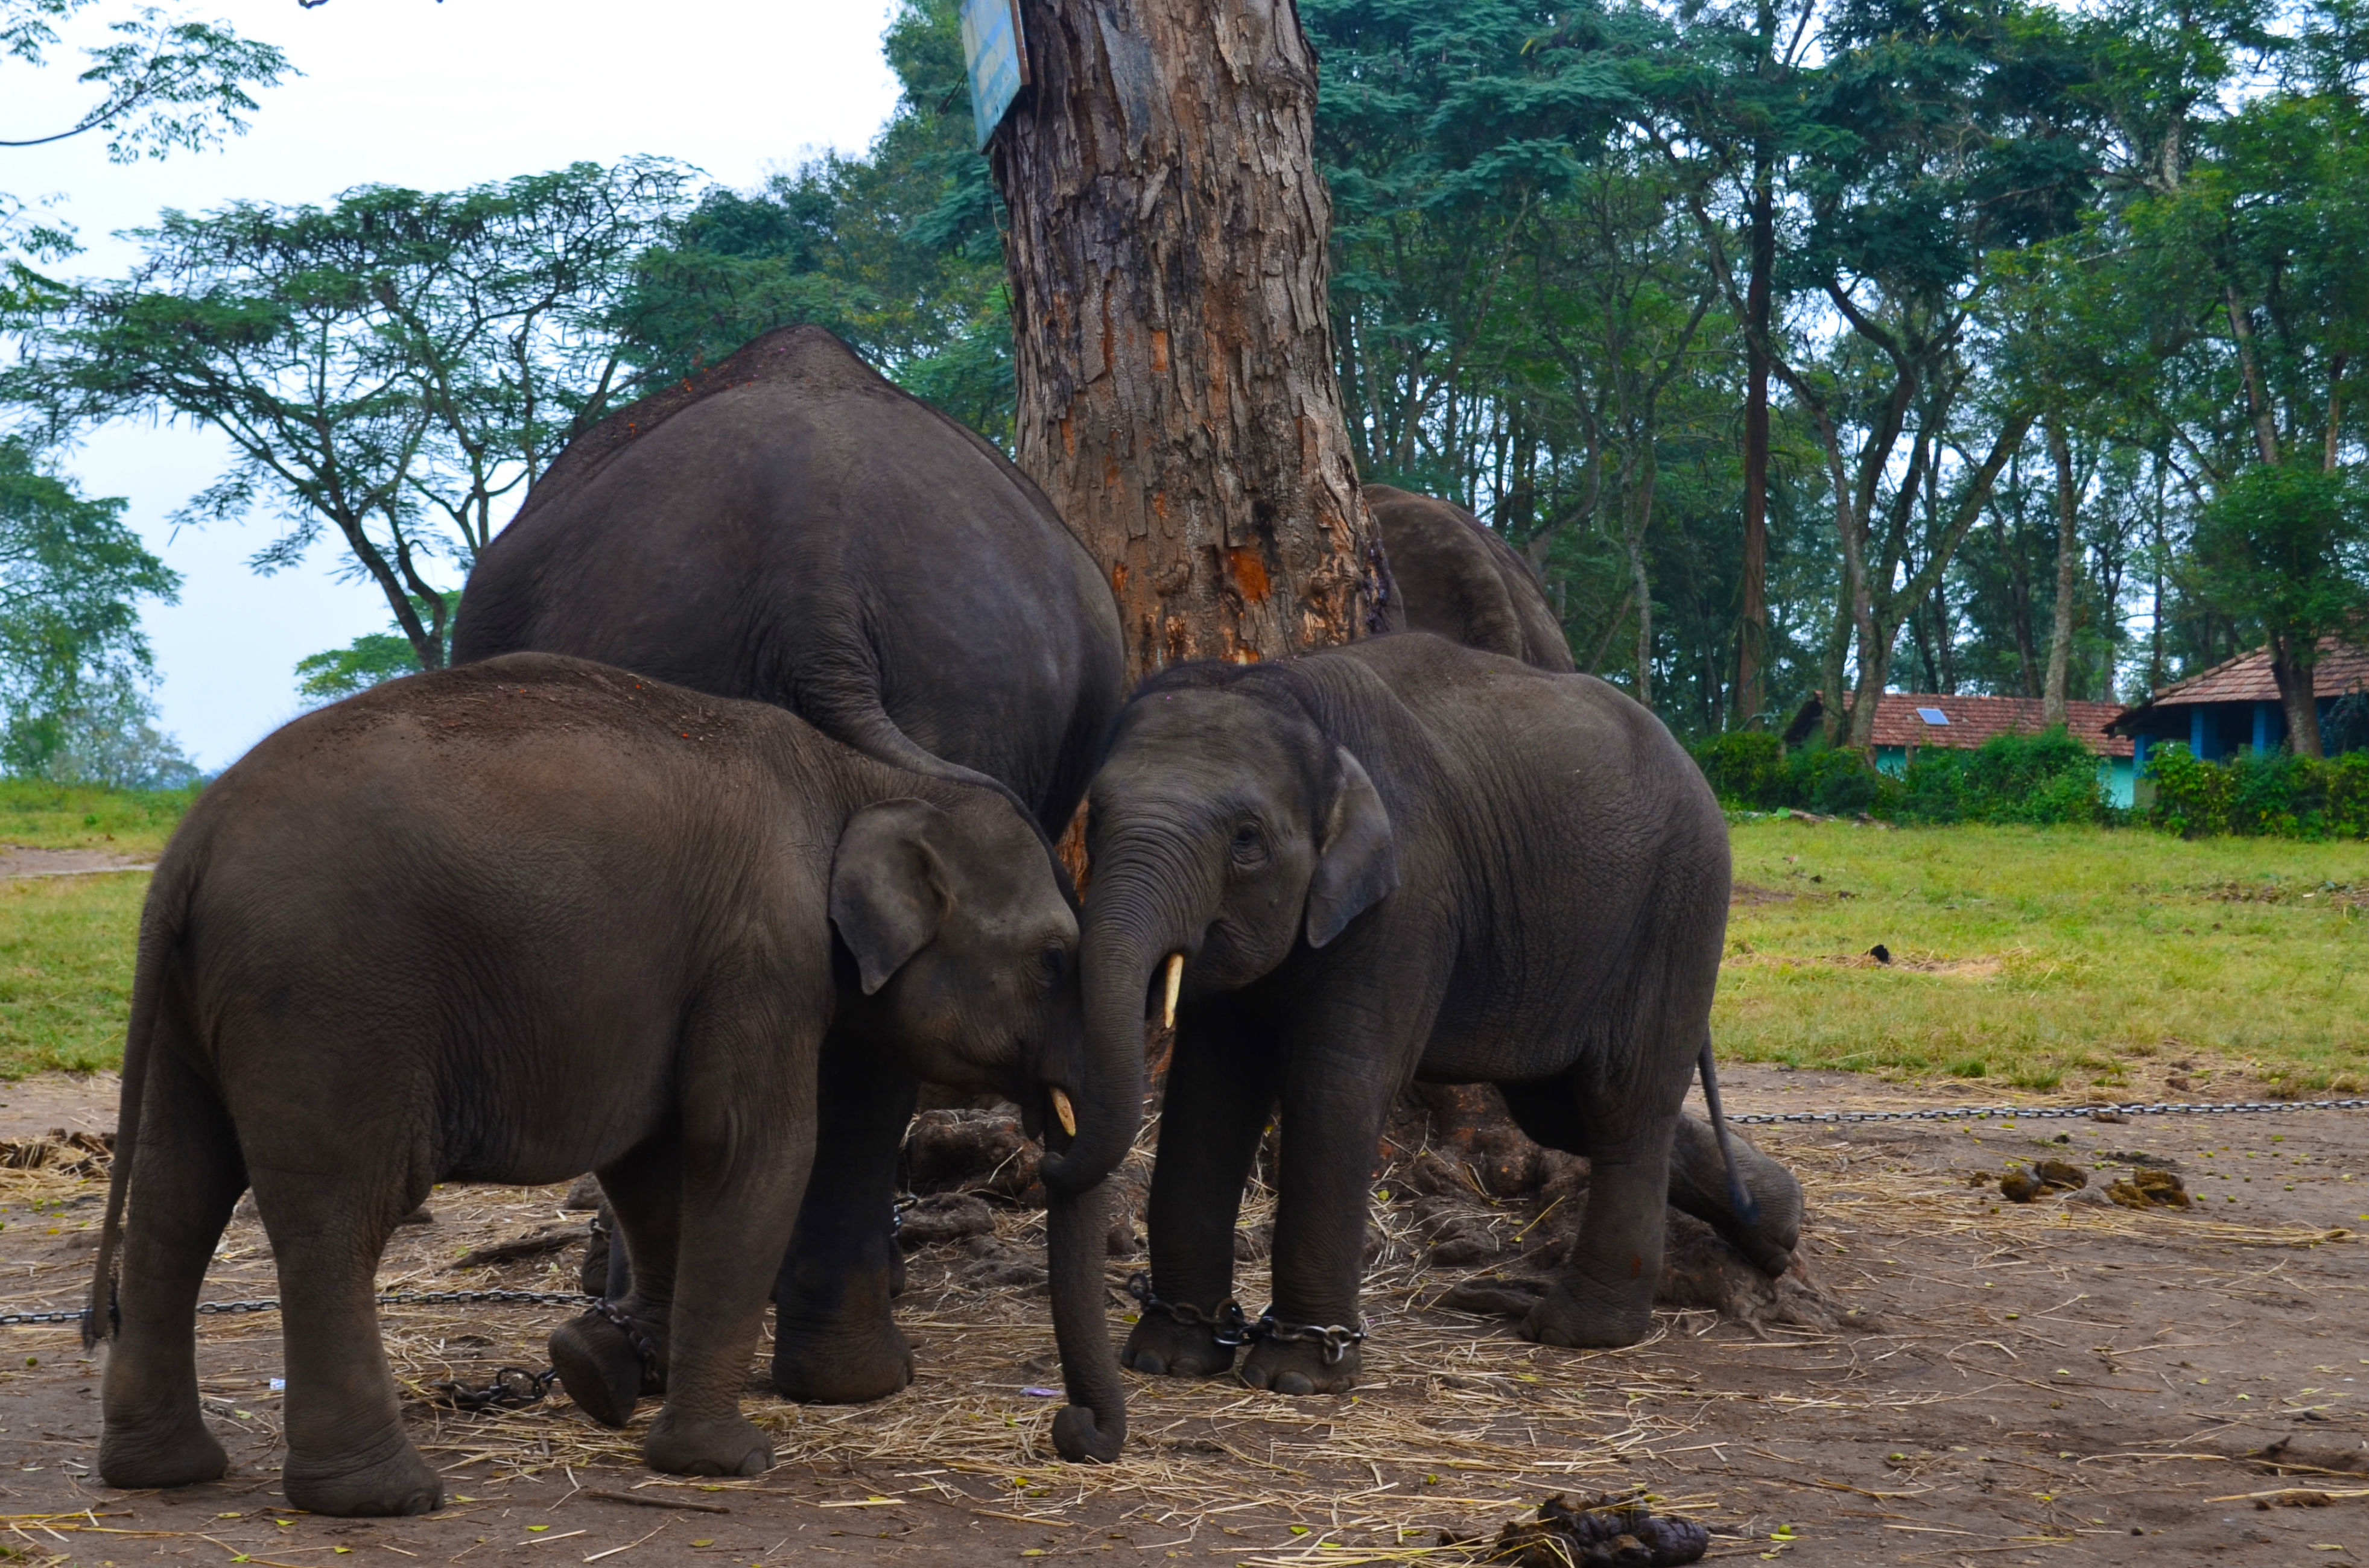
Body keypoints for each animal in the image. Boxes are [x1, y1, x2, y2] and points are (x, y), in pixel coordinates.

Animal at [92, 658, 1127, 1516]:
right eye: (1052, 960)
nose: (1074, 1434)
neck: (863, 780)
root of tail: (190, 847)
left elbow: (654, 1160)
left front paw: (602, 1371)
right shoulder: (763, 951)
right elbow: (750, 1150)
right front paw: (723, 1461)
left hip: (198, 1009)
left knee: (178, 1195)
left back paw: (164, 1472)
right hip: (329, 1000)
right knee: (339, 1215)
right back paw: (382, 1497)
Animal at [1056, 634, 1790, 1402]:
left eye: (1247, 840)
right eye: (1096, 819)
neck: (1291, 696)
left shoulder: (1408, 899)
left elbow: (1335, 1084)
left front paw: (1300, 1375)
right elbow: (1210, 1090)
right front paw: (1167, 1357)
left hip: (1681, 906)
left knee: (1622, 1103)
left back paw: (1578, 1330)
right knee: (1562, 1110)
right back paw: (1779, 1226)